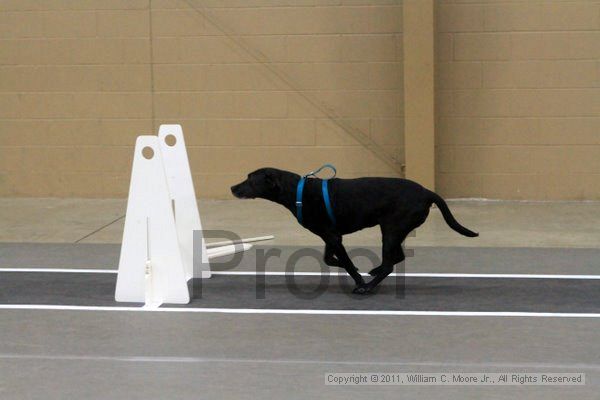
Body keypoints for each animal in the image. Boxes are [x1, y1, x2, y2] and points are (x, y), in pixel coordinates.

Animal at [231, 167, 478, 296]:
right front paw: (349, 267)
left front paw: (358, 281)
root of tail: (427, 192)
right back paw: (374, 271)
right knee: (397, 257)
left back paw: (368, 286)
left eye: (250, 179)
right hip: (394, 230)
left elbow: (347, 263)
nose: (232, 187)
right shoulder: (330, 236)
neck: (298, 192)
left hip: (391, 230)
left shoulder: (332, 236)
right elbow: (329, 258)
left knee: (390, 263)